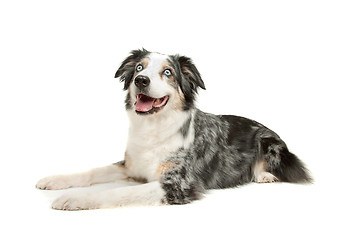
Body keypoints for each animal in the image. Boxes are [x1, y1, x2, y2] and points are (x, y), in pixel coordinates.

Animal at [37, 49, 312, 210]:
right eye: (139, 68)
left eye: (167, 72)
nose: (141, 81)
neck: (154, 128)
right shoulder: (131, 167)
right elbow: (92, 172)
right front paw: (55, 180)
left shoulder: (179, 184)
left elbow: (119, 192)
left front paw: (77, 199)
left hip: (269, 143)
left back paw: (264, 174)